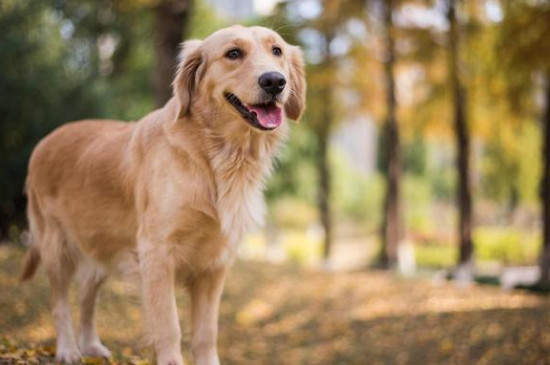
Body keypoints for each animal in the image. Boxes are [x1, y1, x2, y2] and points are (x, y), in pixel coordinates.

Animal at [20, 26, 306, 364]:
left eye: (277, 51)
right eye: (233, 53)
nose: (274, 81)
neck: (214, 155)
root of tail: (46, 140)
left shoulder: (215, 265)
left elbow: (206, 333)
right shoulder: (157, 254)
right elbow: (169, 326)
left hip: (99, 245)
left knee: (87, 298)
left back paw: (91, 345)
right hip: (56, 246)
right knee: (60, 302)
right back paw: (68, 349)